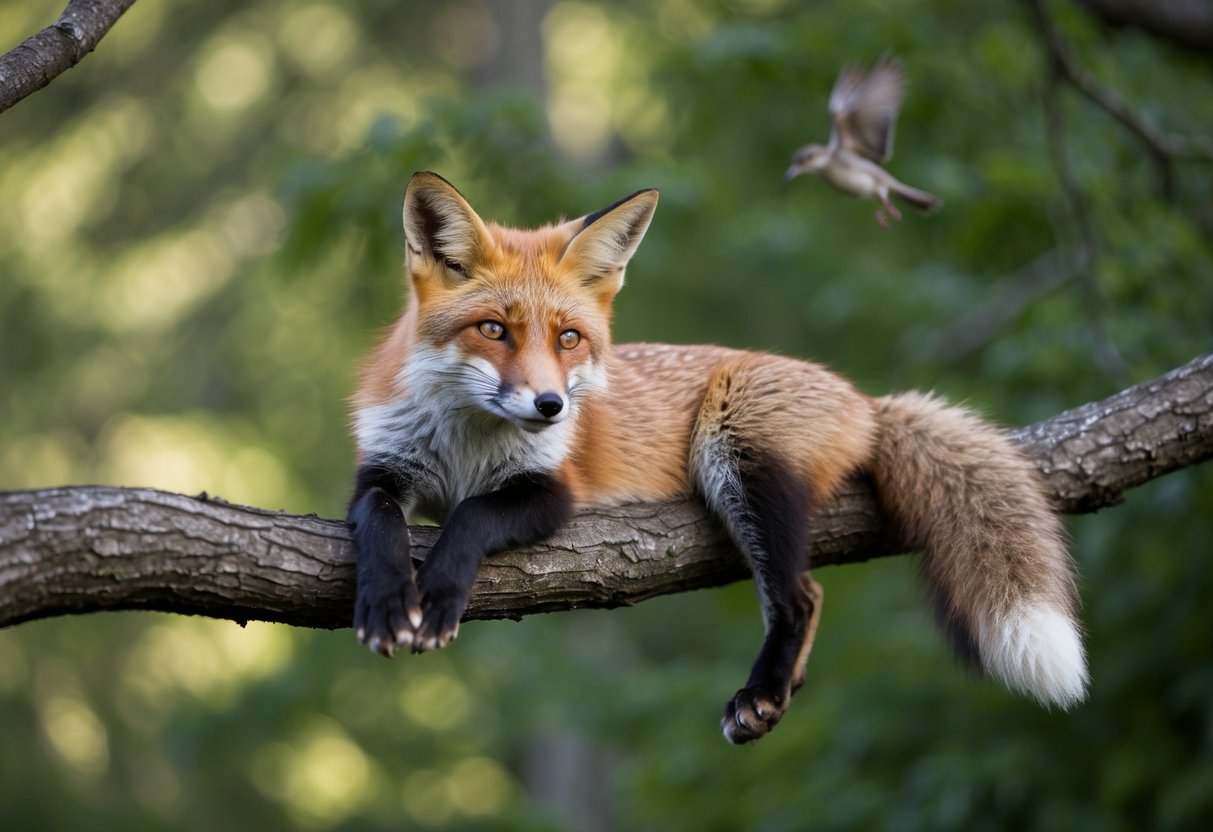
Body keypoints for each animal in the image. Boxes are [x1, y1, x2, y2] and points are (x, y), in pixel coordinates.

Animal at [347, 171, 1087, 744]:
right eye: (493, 330)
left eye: (568, 339)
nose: (551, 406)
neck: (467, 448)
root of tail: (863, 400)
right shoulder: (384, 469)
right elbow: (379, 524)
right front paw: (387, 603)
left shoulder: (553, 492)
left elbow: (472, 515)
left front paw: (439, 596)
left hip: (737, 450)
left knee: (801, 596)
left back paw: (762, 692)